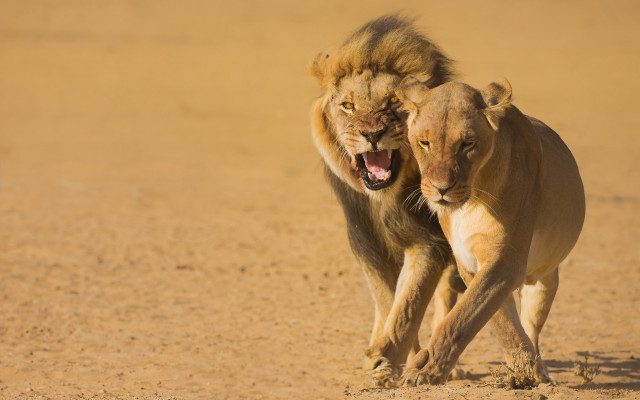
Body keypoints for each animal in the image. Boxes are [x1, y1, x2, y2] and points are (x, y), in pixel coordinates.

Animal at [309, 15, 465, 386]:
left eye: (394, 100)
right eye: (348, 105)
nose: (371, 133)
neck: (385, 199)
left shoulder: (427, 242)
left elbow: (408, 305)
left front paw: (387, 360)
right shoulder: (367, 243)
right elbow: (388, 300)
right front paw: (387, 358)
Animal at [395, 77, 585, 385]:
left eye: (467, 144)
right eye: (424, 143)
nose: (441, 188)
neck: (472, 200)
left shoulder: (505, 262)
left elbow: (461, 321)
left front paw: (426, 371)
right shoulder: (470, 265)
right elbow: (498, 321)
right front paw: (521, 368)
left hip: (544, 279)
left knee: (532, 326)